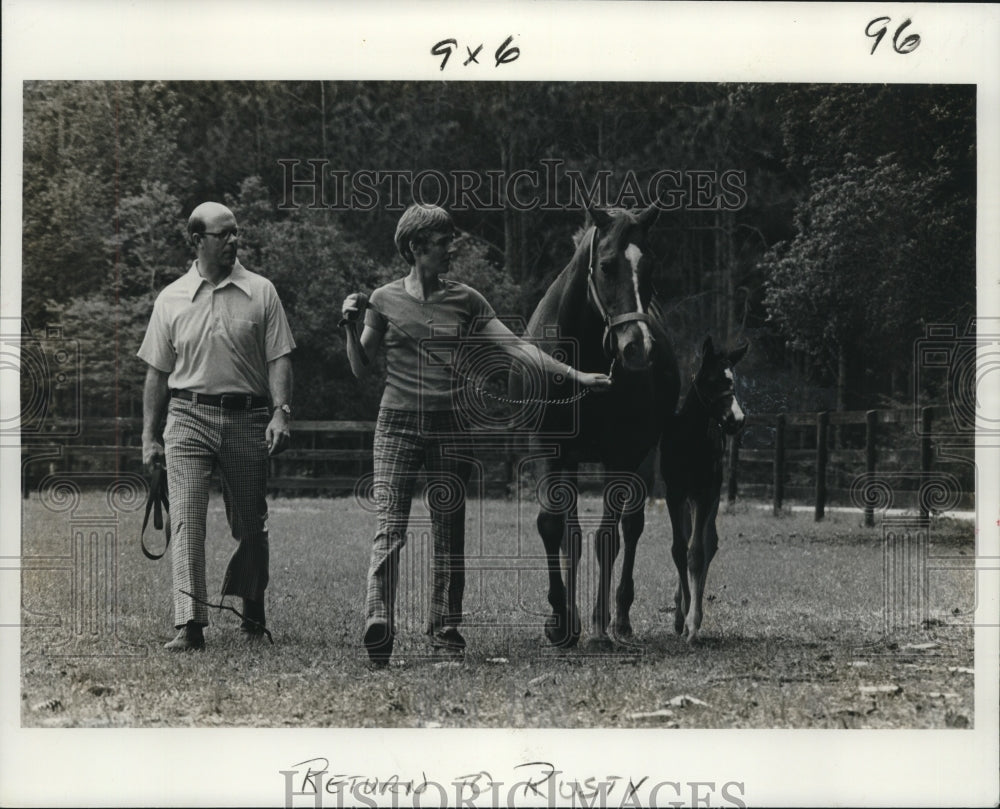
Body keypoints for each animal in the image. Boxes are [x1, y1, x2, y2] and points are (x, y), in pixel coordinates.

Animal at [660, 334, 748, 644]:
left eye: (733, 380)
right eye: (710, 380)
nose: (736, 420)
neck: (691, 440)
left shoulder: (706, 494)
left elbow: (697, 553)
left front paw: (693, 622)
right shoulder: (674, 493)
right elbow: (678, 549)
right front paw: (682, 615)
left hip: (707, 497)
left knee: (708, 542)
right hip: (687, 499)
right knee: (687, 539)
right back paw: (678, 610)